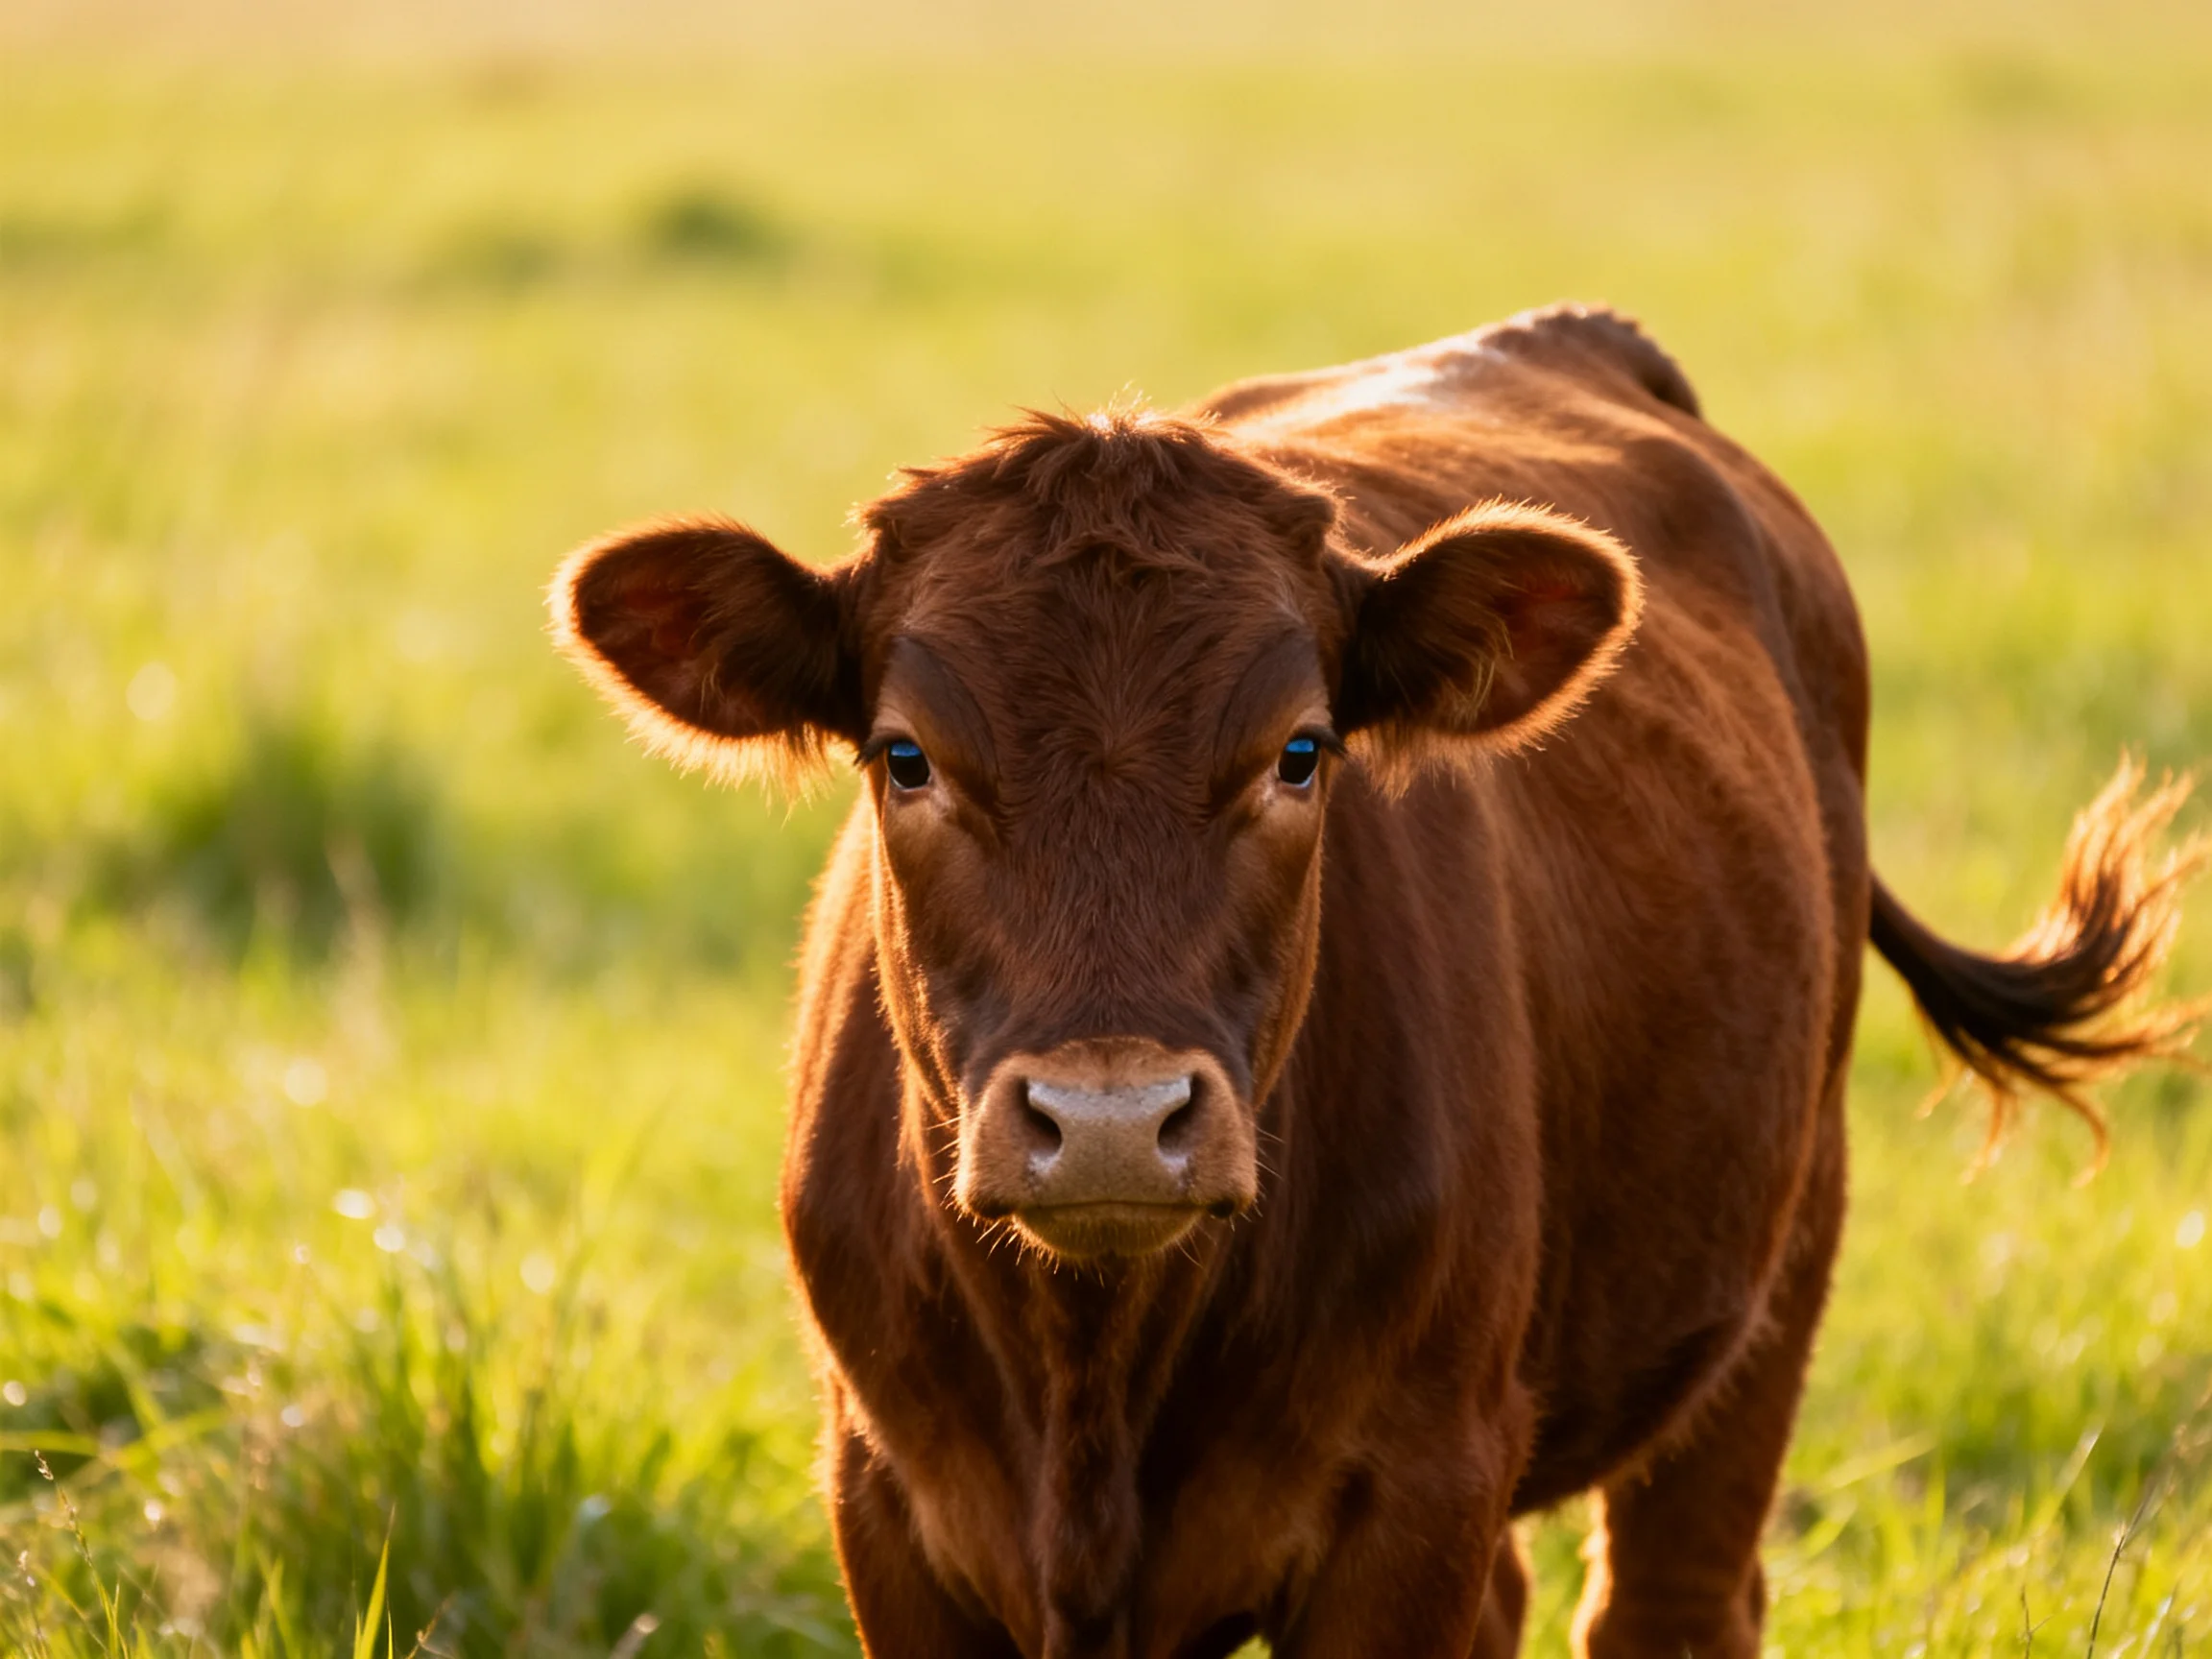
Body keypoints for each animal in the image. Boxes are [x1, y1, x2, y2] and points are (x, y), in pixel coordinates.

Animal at [549, 304, 2200, 1659]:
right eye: (904, 756)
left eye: (1300, 751)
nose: (1108, 1123)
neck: (1094, 1370)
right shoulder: (886, 1501)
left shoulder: (1411, 1497)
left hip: (1780, 1238)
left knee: (1670, 1601)